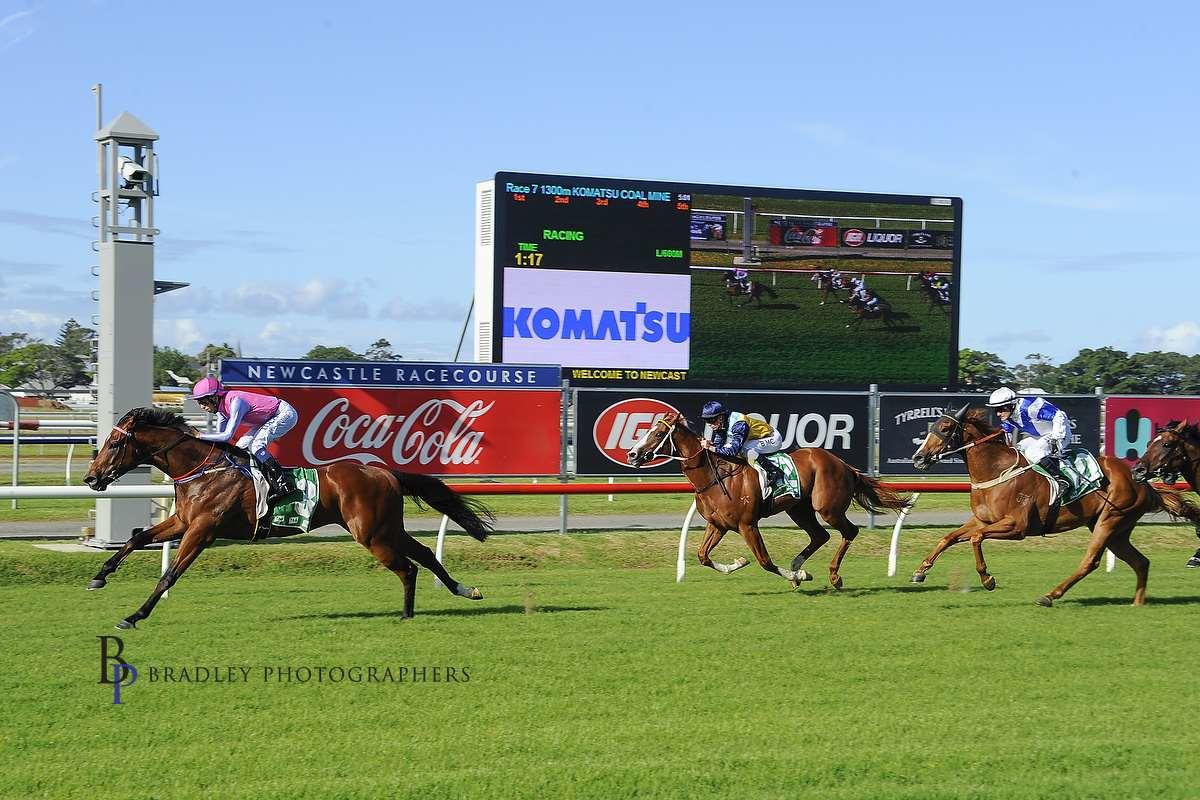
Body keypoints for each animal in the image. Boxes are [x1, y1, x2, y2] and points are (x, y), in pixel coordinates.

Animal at [82, 407, 495, 629]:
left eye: (115, 443)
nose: (91, 478)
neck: (202, 470)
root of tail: (385, 472)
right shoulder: (183, 522)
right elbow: (136, 538)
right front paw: (99, 577)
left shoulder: (202, 530)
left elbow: (170, 574)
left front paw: (134, 615)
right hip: (384, 528)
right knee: (423, 554)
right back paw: (463, 590)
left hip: (372, 534)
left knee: (408, 567)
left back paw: (408, 614)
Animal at [627, 411, 909, 588]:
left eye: (657, 433)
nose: (632, 454)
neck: (714, 475)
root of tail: (844, 464)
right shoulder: (718, 525)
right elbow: (702, 555)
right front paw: (741, 562)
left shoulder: (747, 524)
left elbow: (766, 562)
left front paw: (797, 575)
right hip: (799, 509)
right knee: (820, 535)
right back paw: (799, 565)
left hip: (827, 507)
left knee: (849, 532)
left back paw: (833, 576)